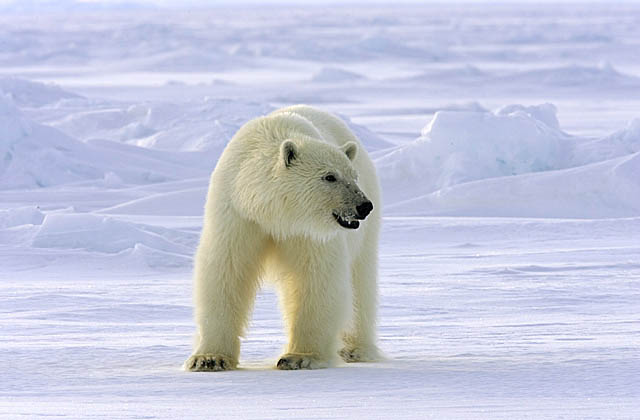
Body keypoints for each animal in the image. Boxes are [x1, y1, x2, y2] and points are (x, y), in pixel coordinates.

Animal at [185, 105, 382, 370]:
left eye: (353, 176)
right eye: (329, 176)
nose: (363, 206)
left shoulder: (307, 232)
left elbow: (316, 277)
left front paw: (300, 357)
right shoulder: (237, 213)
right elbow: (226, 271)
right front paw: (209, 358)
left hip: (366, 233)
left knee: (361, 283)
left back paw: (355, 349)